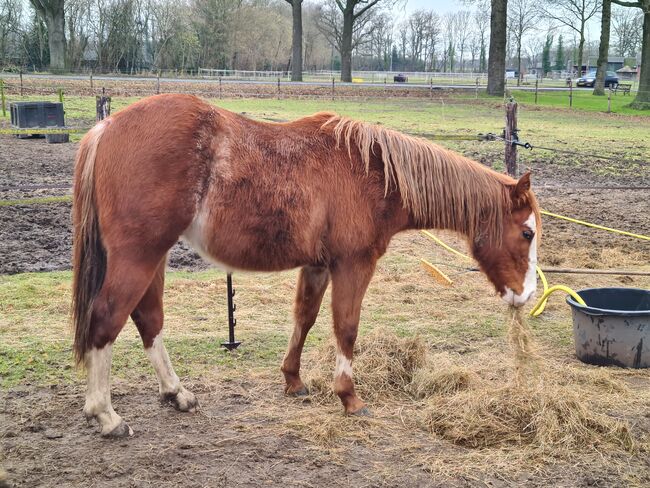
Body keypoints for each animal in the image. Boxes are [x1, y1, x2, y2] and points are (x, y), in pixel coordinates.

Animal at [71, 93, 540, 436]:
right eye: (527, 233)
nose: (526, 296)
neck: (373, 171)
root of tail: (105, 128)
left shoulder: (317, 265)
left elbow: (305, 319)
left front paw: (293, 381)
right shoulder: (353, 264)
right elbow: (345, 328)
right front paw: (349, 397)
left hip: (154, 257)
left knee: (148, 320)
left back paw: (177, 394)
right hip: (139, 256)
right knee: (107, 319)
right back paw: (106, 415)